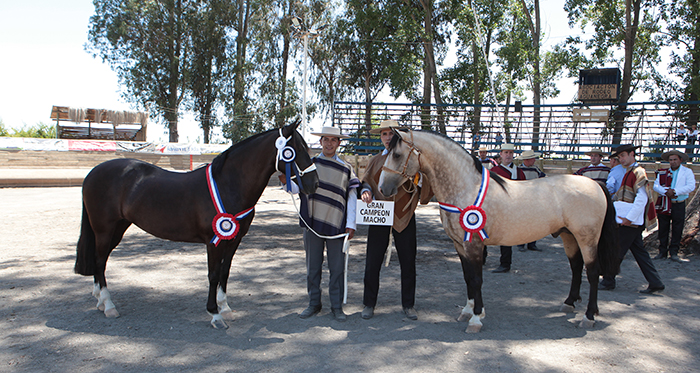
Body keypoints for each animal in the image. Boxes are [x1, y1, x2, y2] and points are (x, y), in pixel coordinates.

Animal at [74, 120, 320, 326]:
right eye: (296, 151)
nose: (314, 183)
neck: (228, 184)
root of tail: (93, 173)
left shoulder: (234, 240)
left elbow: (225, 273)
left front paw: (225, 308)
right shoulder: (214, 241)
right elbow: (213, 275)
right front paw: (215, 314)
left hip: (117, 228)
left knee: (100, 260)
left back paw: (100, 301)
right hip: (104, 229)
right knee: (100, 261)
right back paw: (108, 305)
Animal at [378, 130, 616, 332]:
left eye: (397, 154)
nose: (382, 188)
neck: (466, 187)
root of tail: (595, 184)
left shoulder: (473, 244)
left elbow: (476, 279)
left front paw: (475, 319)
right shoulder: (460, 245)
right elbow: (467, 277)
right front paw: (468, 311)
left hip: (587, 239)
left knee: (592, 272)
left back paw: (588, 317)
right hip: (569, 236)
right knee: (576, 267)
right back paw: (569, 303)